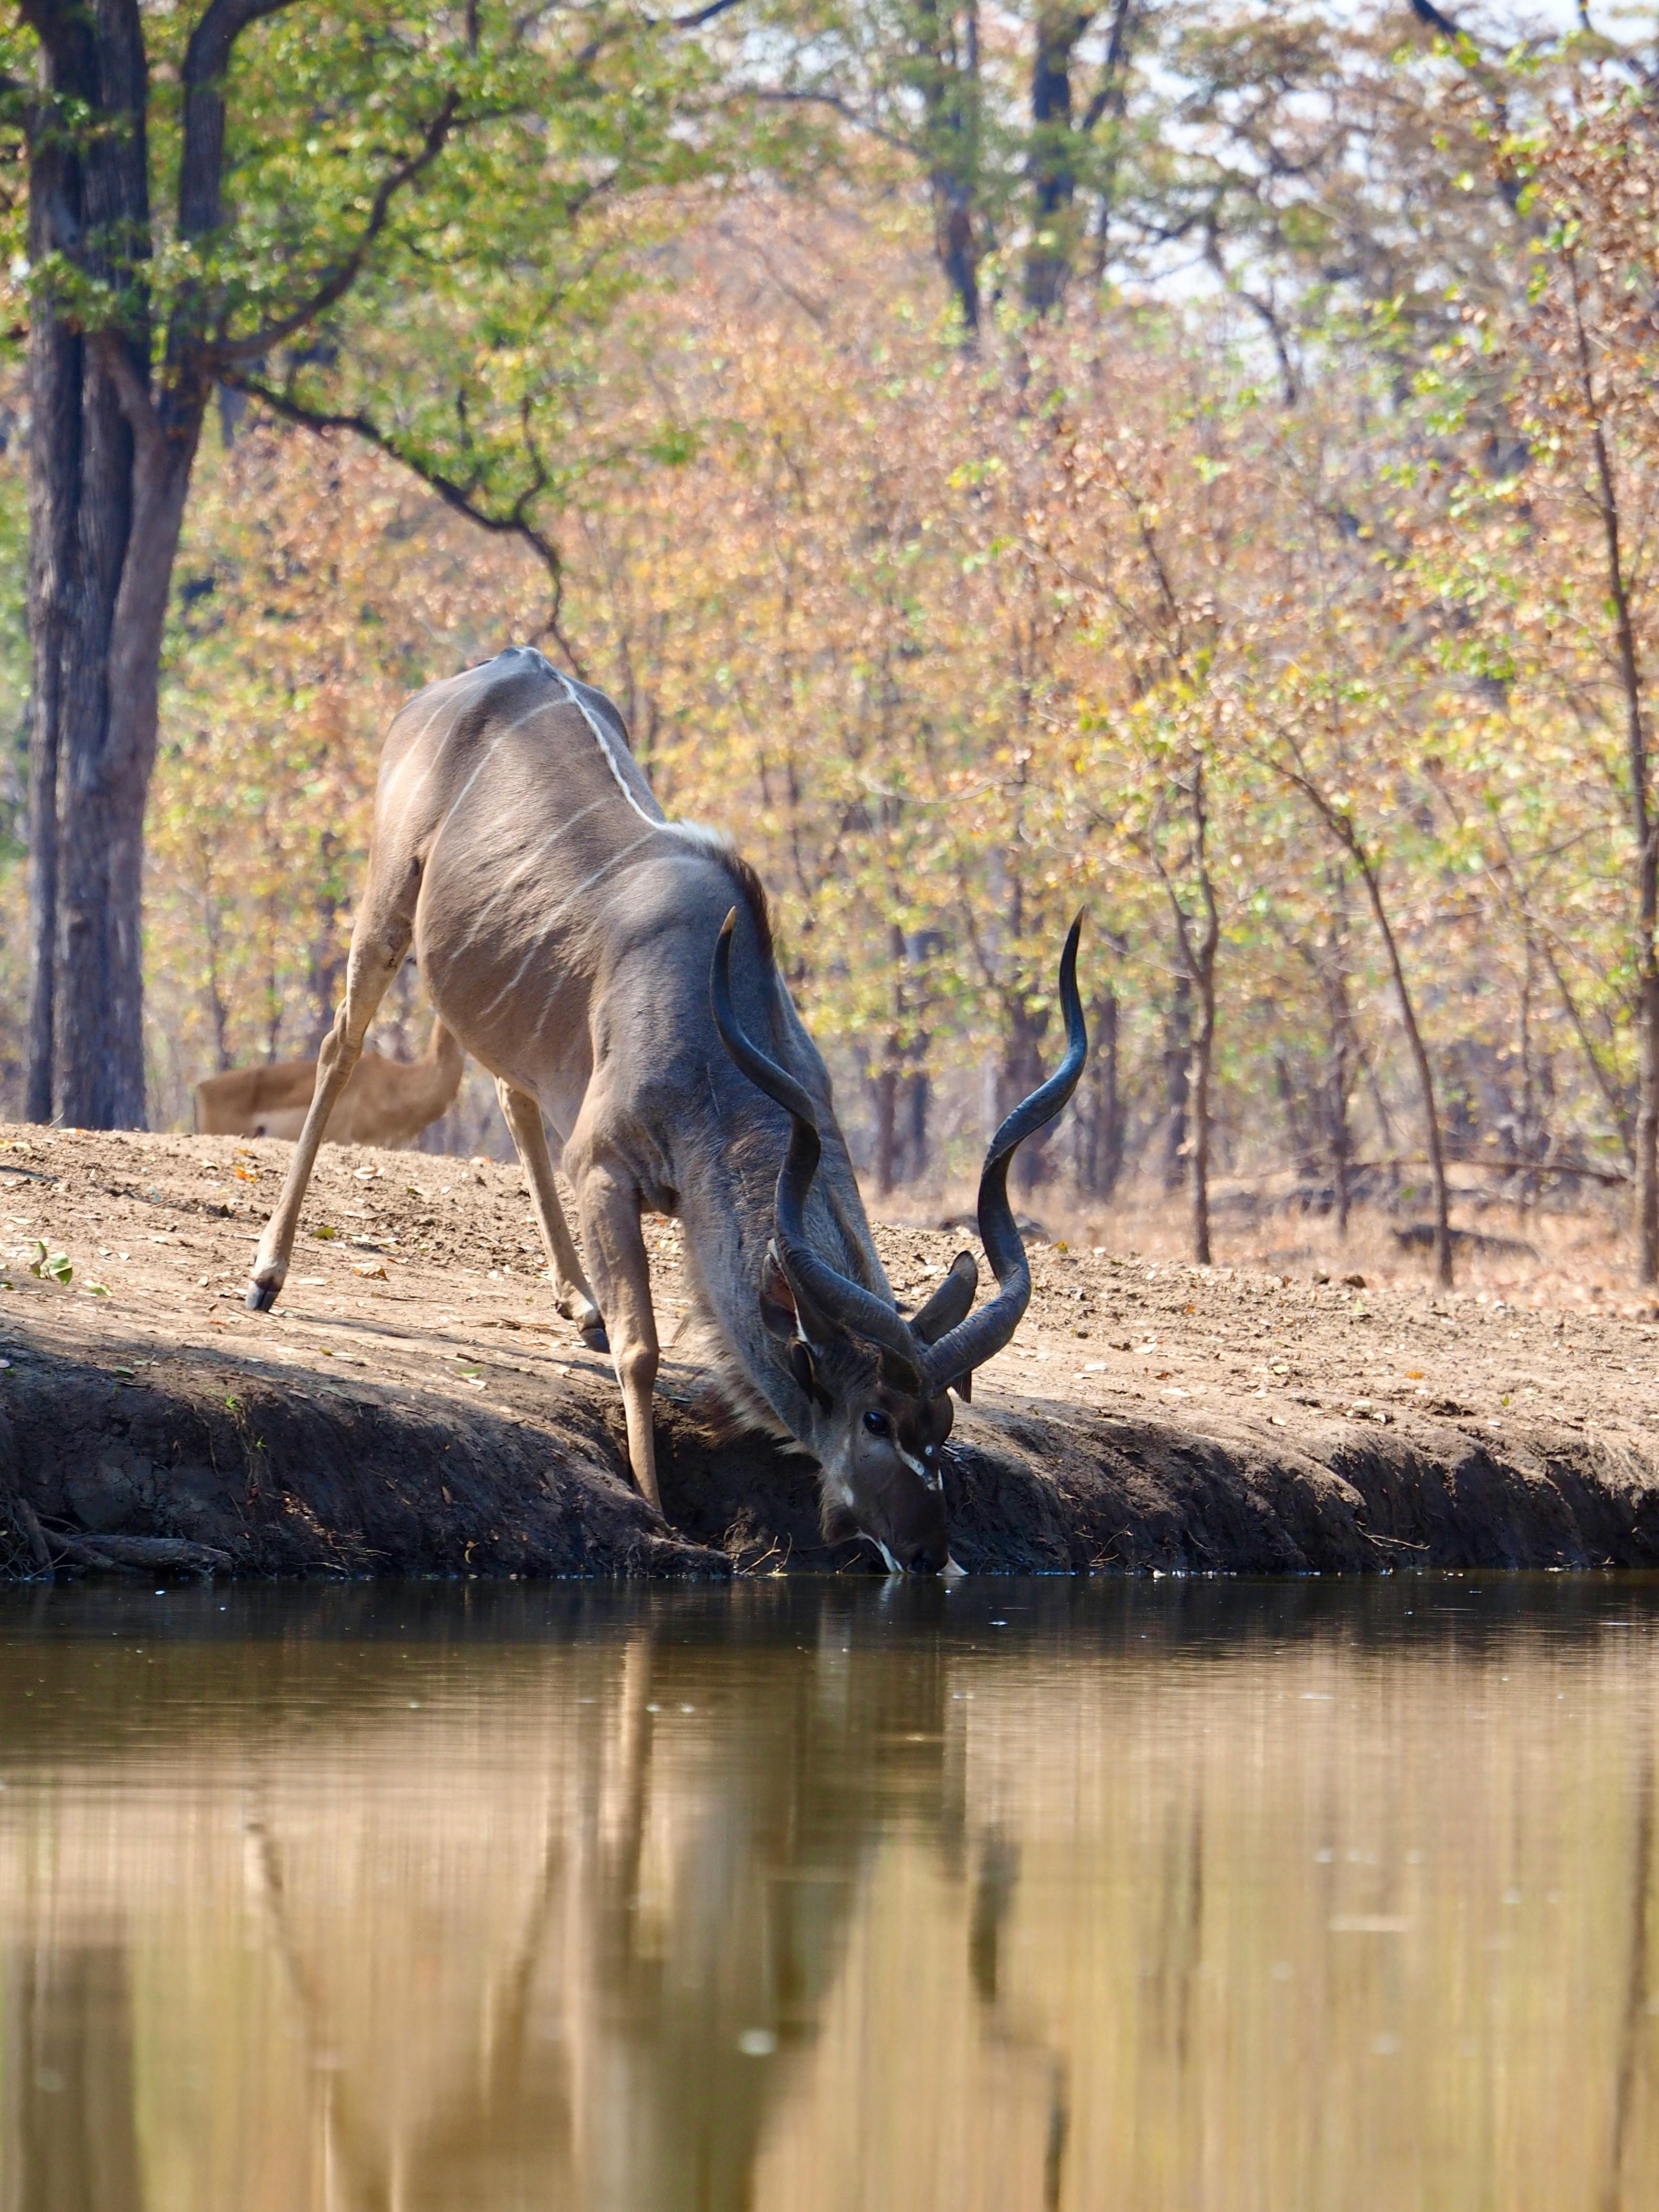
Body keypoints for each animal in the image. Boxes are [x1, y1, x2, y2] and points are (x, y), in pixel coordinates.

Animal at [245, 646, 1085, 1571]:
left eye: (941, 1419)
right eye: (875, 1416)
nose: (931, 1551)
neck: (716, 1030)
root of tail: (496, 664)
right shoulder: (602, 1168)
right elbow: (642, 1348)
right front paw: (653, 1506)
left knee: (508, 1090)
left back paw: (576, 1303)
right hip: (385, 904)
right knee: (340, 1045)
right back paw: (267, 1274)